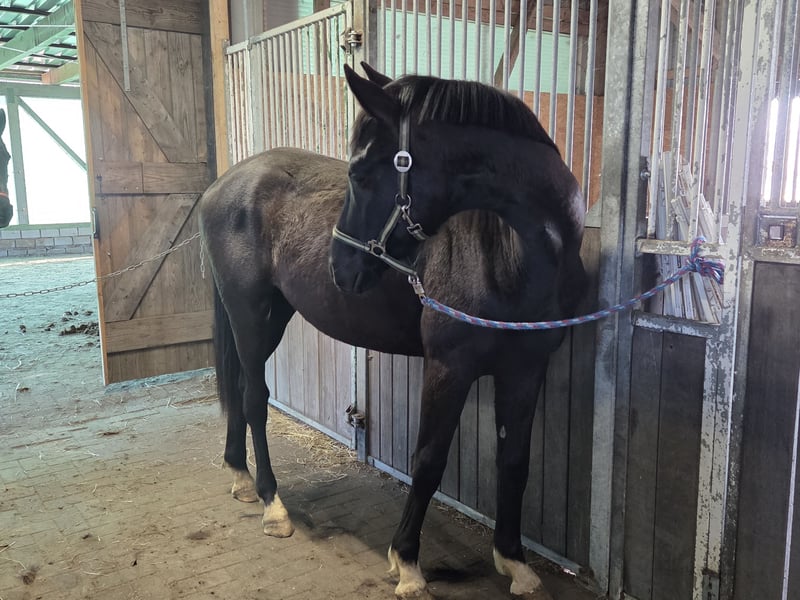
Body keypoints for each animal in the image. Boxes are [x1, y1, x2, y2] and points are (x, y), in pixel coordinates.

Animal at [199, 63, 587, 599]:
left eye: (360, 174)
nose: (339, 267)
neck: (512, 258)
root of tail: (222, 185)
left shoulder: (526, 370)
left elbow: (515, 461)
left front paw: (515, 562)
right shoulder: (448, 368)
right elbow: (427, 461)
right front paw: (406, 562)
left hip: (272, 315)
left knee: (240, 388)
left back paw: (240, 475)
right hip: (249, 313)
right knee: (256, 397)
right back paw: (272, 504)